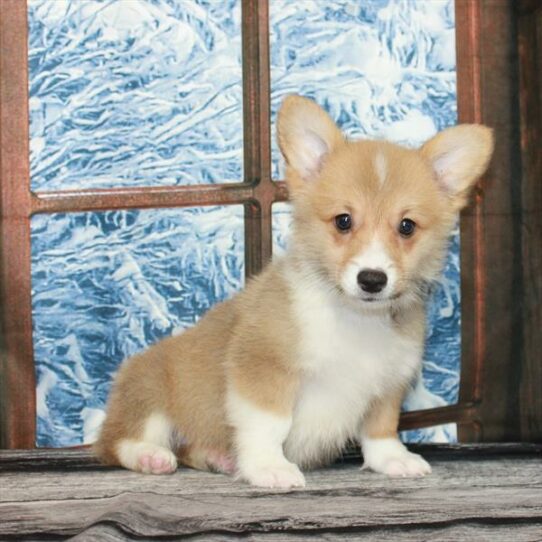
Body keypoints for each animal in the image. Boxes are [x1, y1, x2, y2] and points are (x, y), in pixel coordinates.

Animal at [95, 95, 496, 490]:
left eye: (407, 226)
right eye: (343, 221)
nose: (372, 279)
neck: (353, 317)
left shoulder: (388, 383)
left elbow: (381, 427)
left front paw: (392, 459)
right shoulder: (263, 370)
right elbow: (269, 425)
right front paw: (268, 467)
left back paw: (216, 457)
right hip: (150, 393)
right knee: (118, 441)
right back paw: (151, 456)